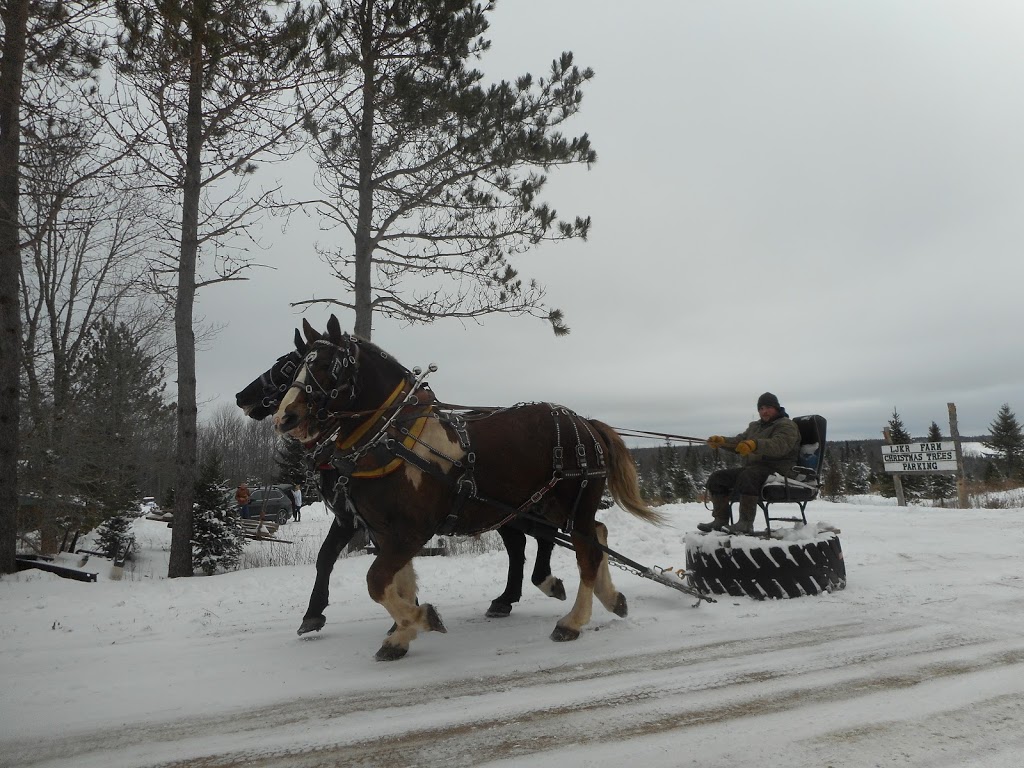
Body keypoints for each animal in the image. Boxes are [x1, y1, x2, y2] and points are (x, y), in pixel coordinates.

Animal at [234, 327, 569, 634]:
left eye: (287, 366)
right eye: (296, 366)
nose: (241, 397)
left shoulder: (354, 518)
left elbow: (339, 558)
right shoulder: (359, 517)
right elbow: (343, 559)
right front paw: (404, 613)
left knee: (543, 537)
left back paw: (539, 584)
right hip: (506, 509)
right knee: (521, 543)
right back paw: (507, 598)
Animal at [272, 313, 659, 663]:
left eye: (327, 366)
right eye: (296, 368)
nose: (284, 418)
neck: (396, 439)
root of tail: (586, 423)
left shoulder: (412, 531)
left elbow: (377, 580)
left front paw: (419, 620)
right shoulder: (383, 531)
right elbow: (399, 582)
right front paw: (402, 634)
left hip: (571, 502)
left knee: (586, 551)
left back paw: (573, 622)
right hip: (548, 505)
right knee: (595, 534)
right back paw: (611, 598)